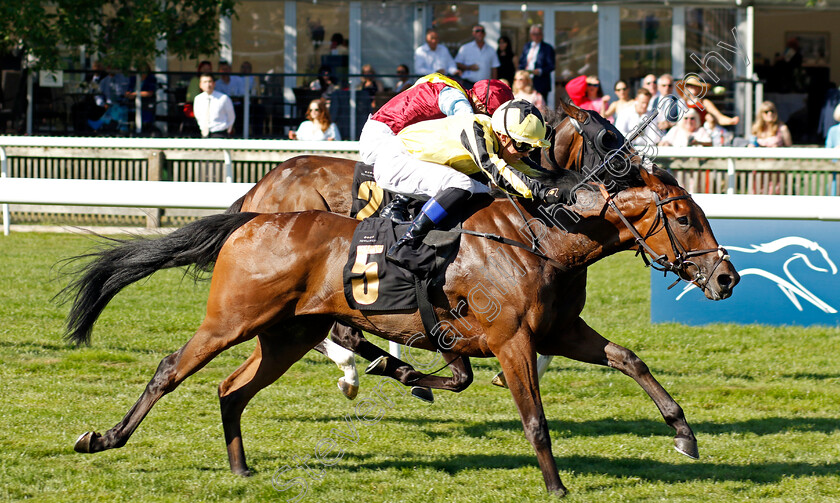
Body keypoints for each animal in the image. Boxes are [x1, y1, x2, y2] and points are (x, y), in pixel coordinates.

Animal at [64, 163, 736, 498]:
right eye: (683, 217)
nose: (726, 276)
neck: (540, 239)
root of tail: (252, 218)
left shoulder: (556, 333)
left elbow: (628, 358)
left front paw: (683, 433)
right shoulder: (513, 342)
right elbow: (534, 418)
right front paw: (556, 486)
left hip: (286, 336)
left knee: (232, 390)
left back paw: (241, 469)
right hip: (230, 320)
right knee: (170, 369)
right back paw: (103, 438)